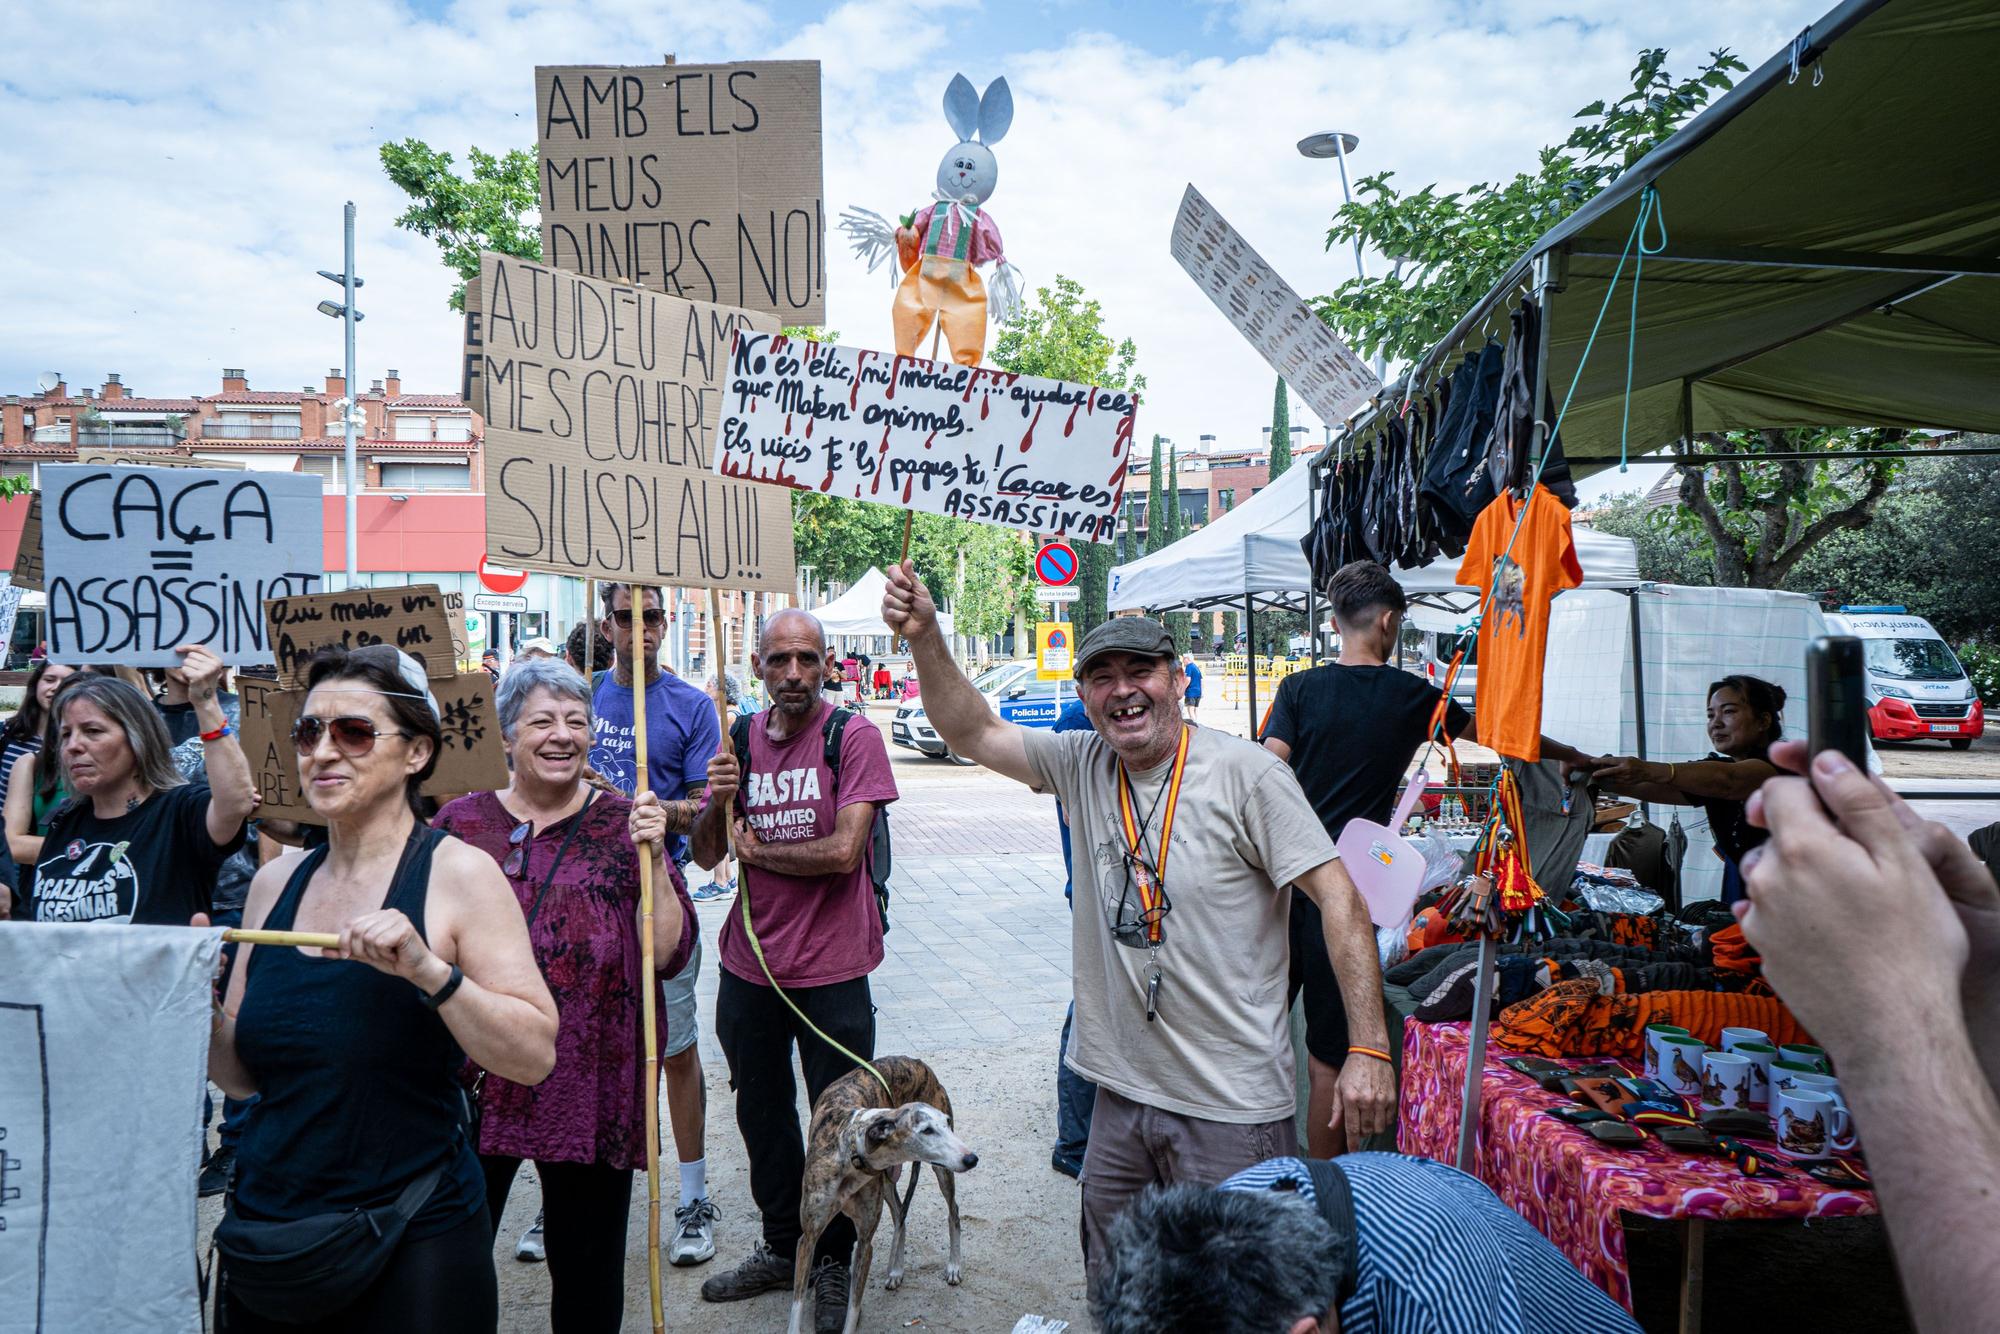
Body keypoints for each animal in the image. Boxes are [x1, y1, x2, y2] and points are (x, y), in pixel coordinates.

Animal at [792, 1056, 988, 1334]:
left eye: (946, 1124)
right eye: (926, 1130)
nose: (972, 1159)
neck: (852, 1150)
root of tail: (918, 1063)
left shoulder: (864, 1242)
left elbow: (853, 1309)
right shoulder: (808, 1236)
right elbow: (796, 1306)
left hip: (940, 1171)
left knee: (953, 1212)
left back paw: (953, 1267)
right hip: (886, 1182)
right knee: (899, 1215)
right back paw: (896, 1270)